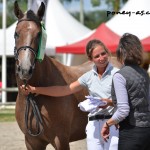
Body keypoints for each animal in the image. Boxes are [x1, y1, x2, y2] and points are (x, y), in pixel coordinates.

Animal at [14, 1, 121, 150]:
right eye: (16, 34)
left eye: (39, 34)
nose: (25, 69)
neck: (33, 96)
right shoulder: (32, 142)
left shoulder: (61, 139)